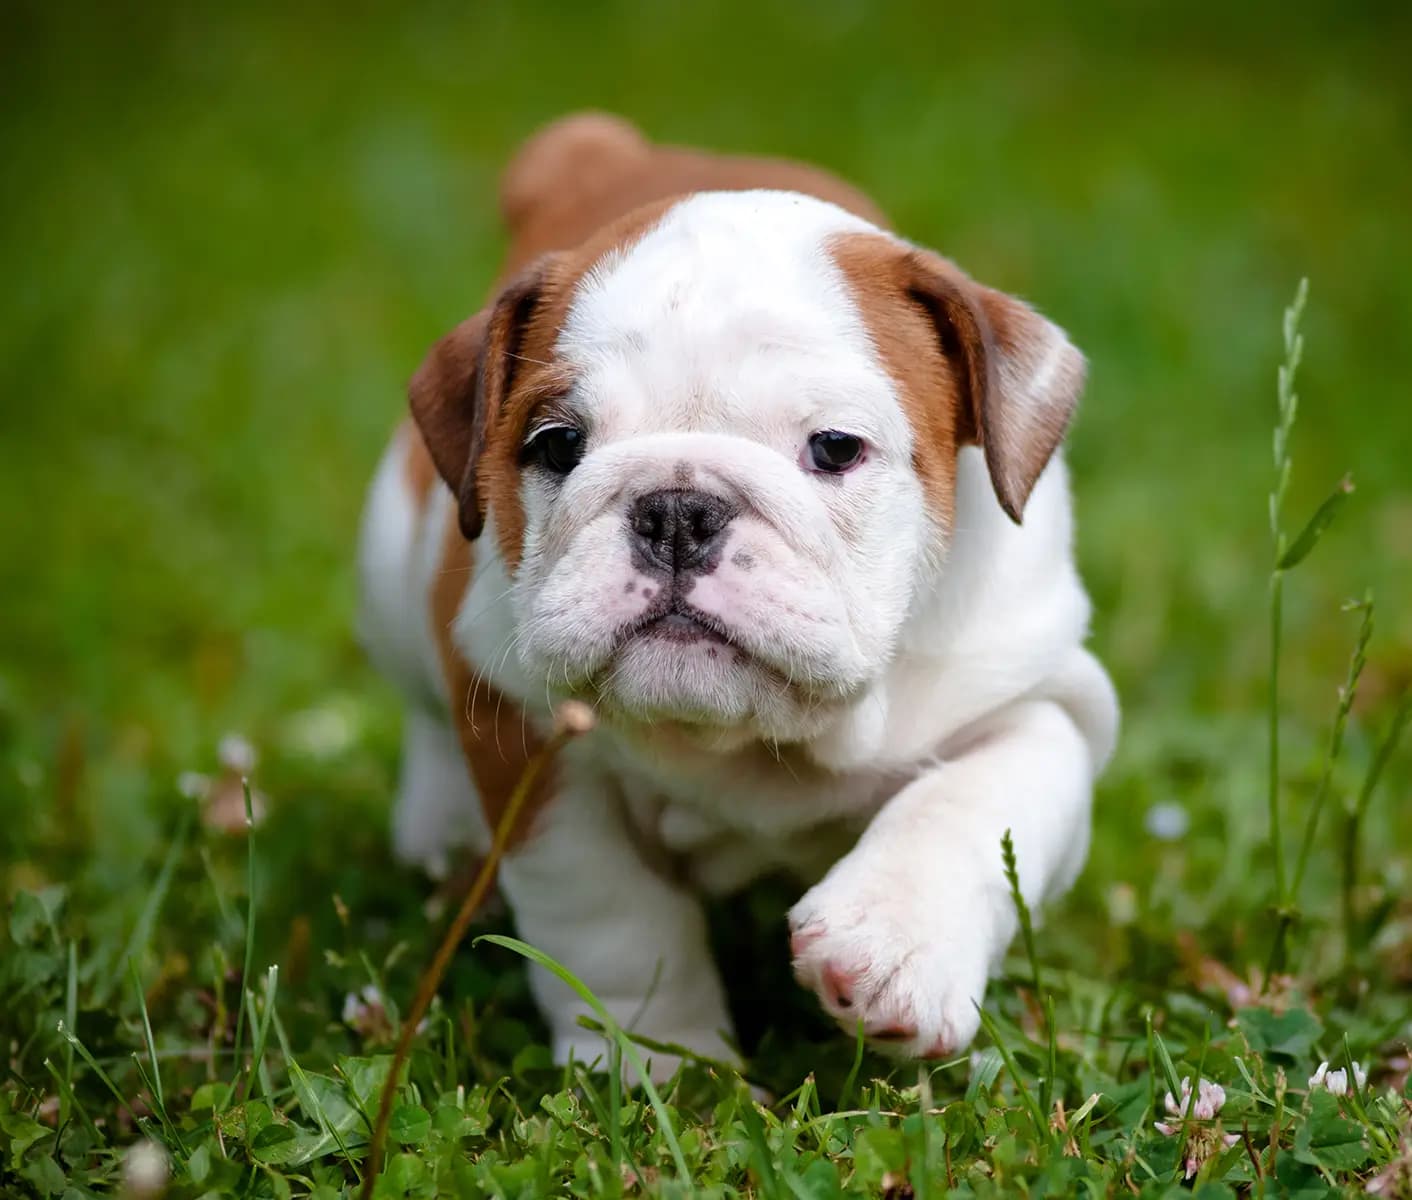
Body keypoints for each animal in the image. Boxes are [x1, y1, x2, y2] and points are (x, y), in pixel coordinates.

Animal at [358, 112, 1118, 1067]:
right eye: (557, 444)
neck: (757, 743)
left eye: (834, 447)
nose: (678, 511)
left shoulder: (1046, 699)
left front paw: (893, 945)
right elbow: (611, 917)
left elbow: (973, 801)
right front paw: (658, 1061)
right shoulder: (533, 744)